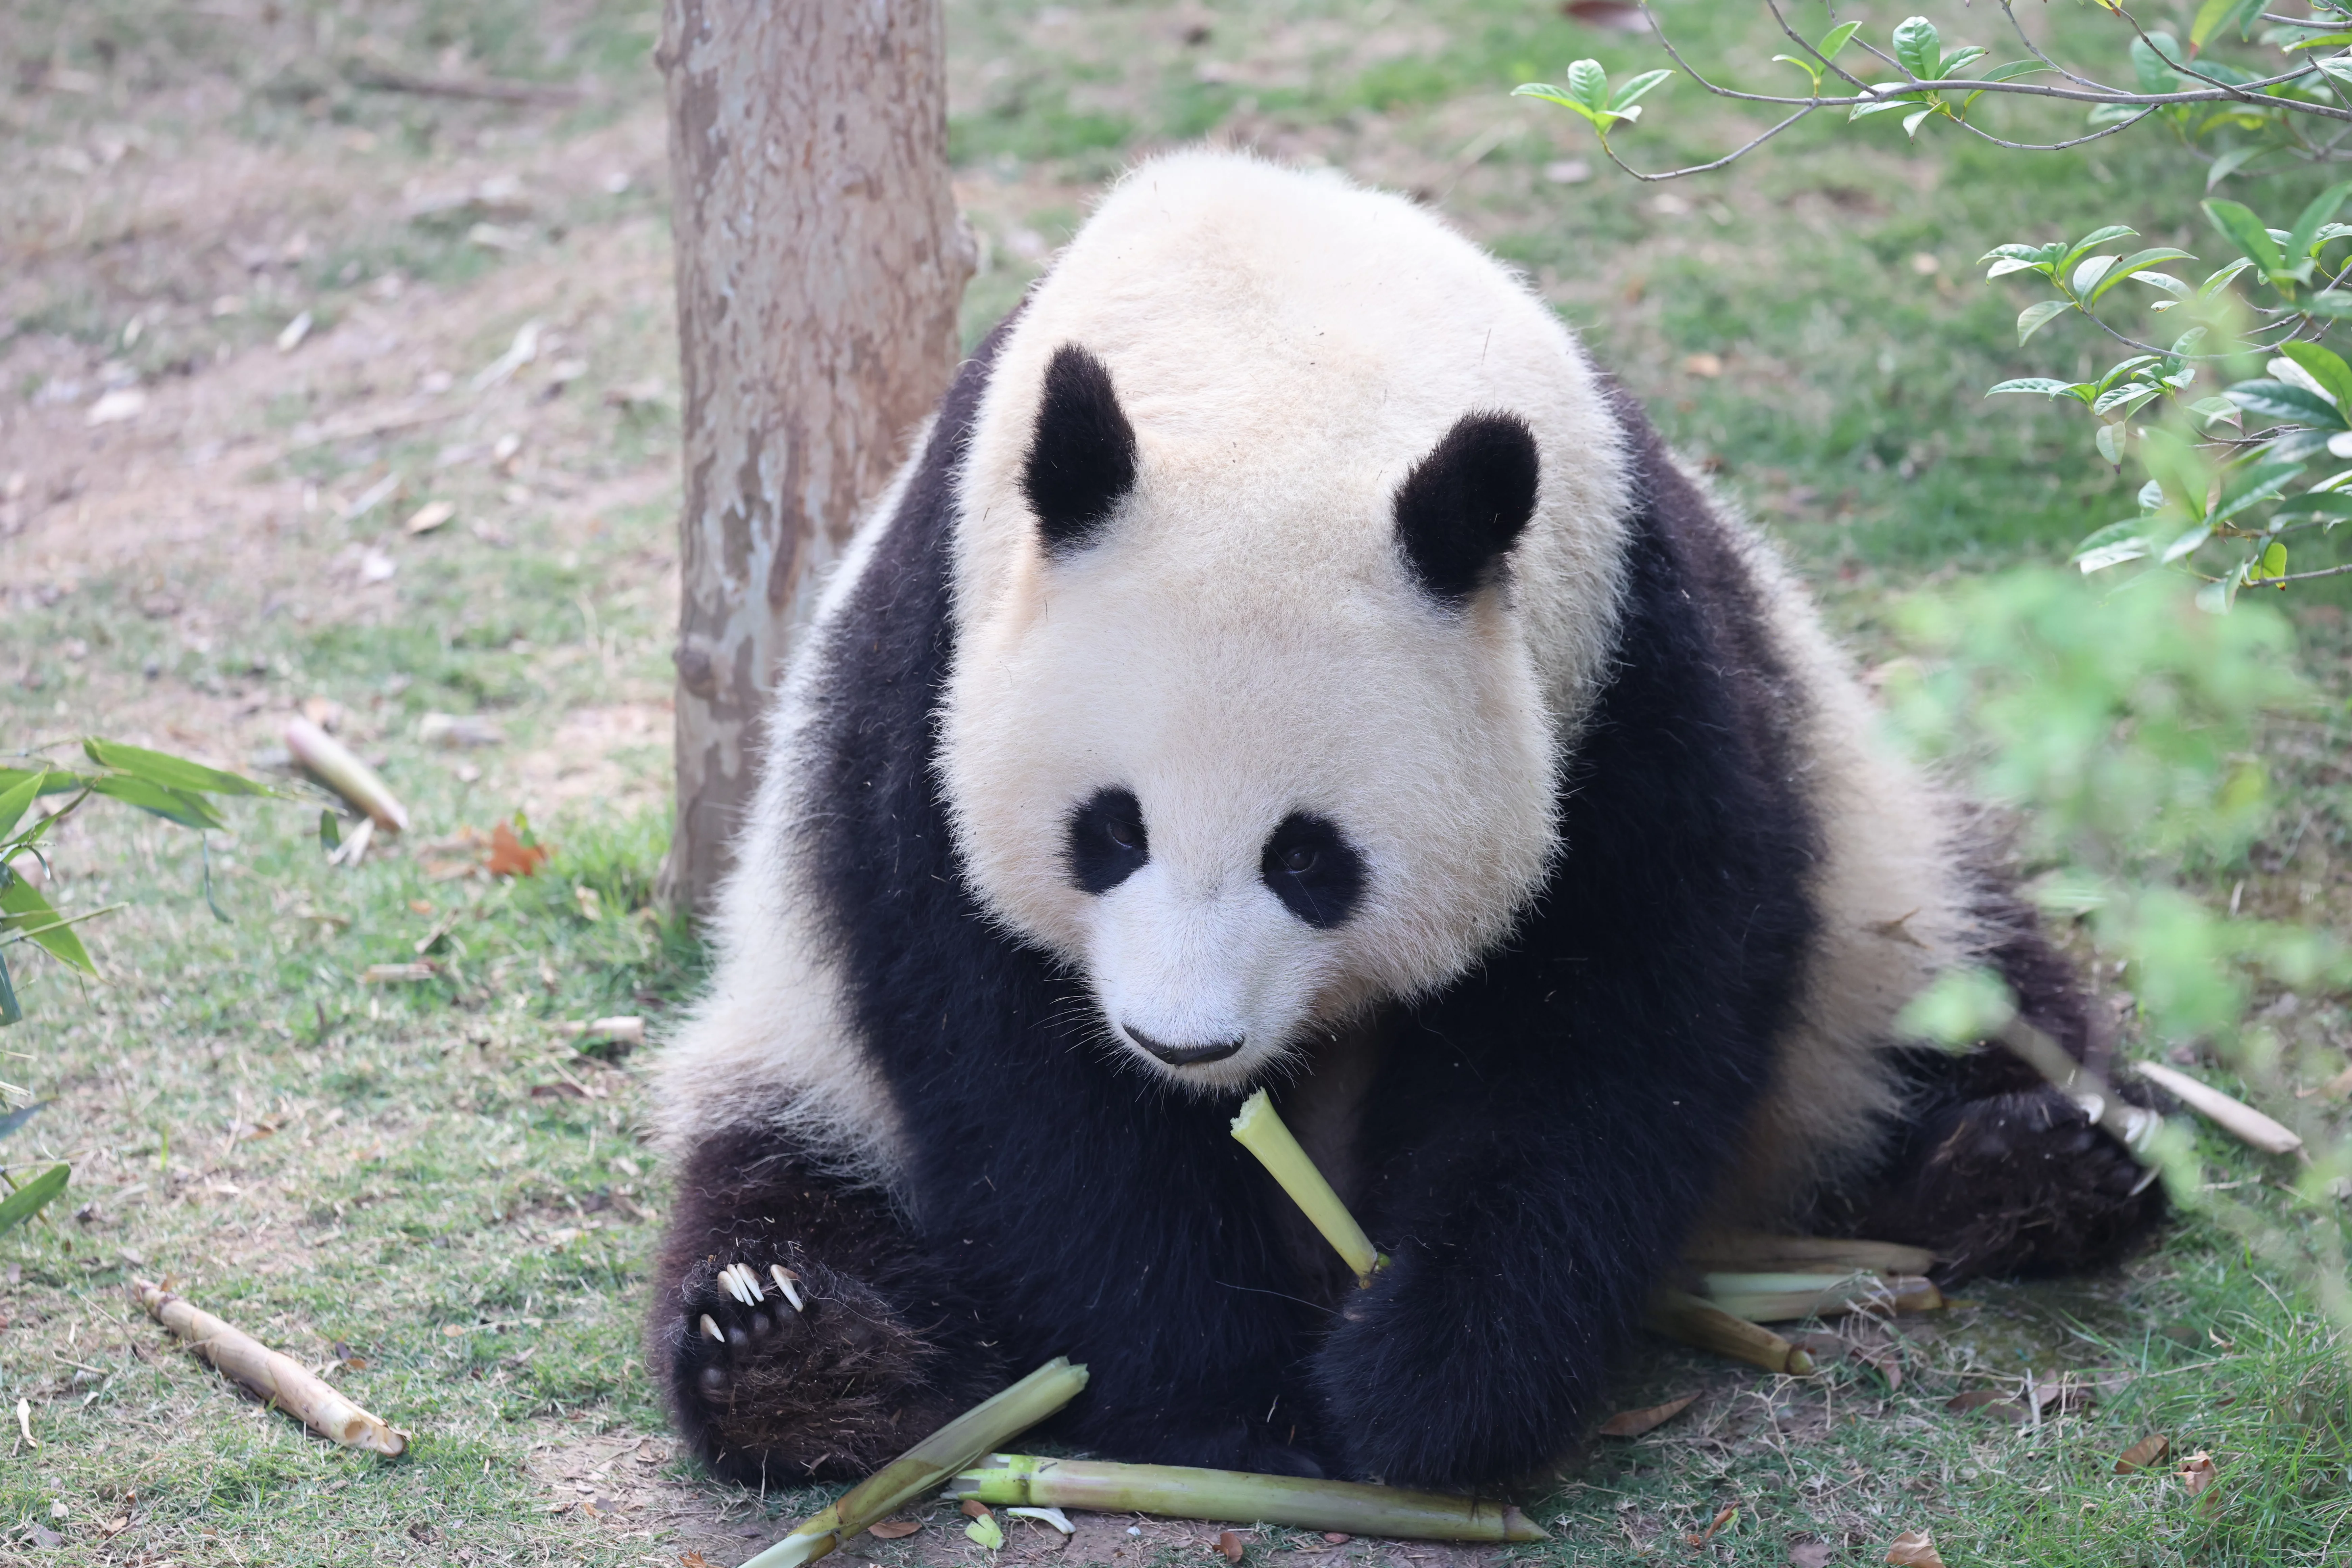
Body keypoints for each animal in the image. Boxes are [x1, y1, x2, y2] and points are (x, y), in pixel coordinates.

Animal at [648, 150, 2162, 1493]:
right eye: (1109, 832)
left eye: (1310, 858)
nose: (1182, 1044)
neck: (1273, 344)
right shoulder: (934, 667)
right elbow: (1018, 1073)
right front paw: (1228, 1398)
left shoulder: (1627, 665)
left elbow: (1601, 1037)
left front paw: (1424, 1392)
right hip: (797, 1047)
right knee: (788, 1187)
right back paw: (796, 1352)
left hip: (1873, 896)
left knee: (1967, 995)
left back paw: (2040, 1161)